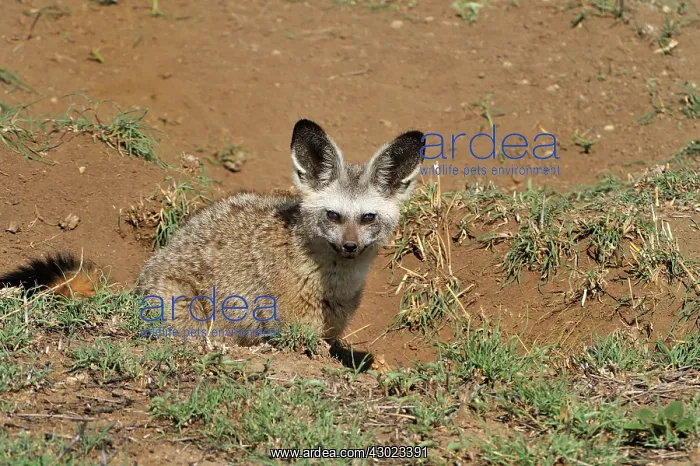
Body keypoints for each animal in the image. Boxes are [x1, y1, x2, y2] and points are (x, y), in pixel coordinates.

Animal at [0, 119, 424, 345]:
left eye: (367, 218)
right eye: (333, 215)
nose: (350, 246)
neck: (332, 280)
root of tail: (138, 283)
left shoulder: (330, 326)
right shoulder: (293, 325)